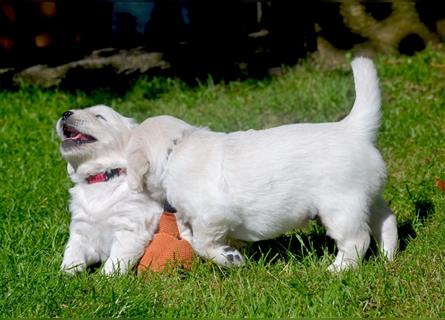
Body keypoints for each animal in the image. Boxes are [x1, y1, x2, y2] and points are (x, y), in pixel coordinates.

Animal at [55, 105, 163, 276]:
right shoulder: (81, 230)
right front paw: (67, 271)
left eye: (99, 116)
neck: (103, 178)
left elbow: (116, 260)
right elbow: (73, 249)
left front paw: (106, 278)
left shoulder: (129, 229)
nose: (65, 113)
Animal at [126, 57, 398, 270]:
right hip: (368, 197)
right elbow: (189, 234)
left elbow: (203, 243)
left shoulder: (212, 215)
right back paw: (388, 256)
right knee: (386, 220)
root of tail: (352, 128)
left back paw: (337, 269)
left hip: (341, 205)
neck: (176, 147)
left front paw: (230, 258)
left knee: (357, 239)